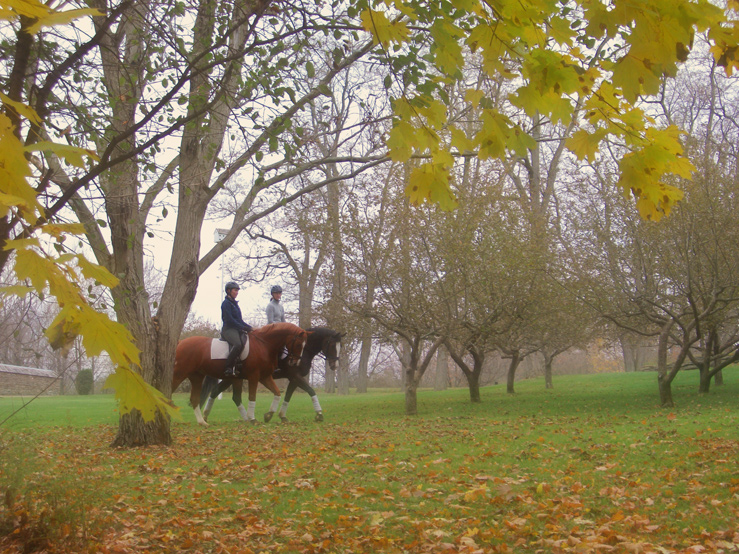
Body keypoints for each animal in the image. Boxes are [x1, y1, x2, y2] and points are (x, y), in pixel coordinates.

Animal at [173, 322, 306, 424]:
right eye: (299, 344)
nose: (295, 363)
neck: (263, 344)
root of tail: (180, 342)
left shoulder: (264, 377)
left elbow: (277, 393)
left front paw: (268, 415)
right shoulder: (254, 377)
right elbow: (252, 396)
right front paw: (253, 418)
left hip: (198, 377)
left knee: (196, 398)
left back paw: (202, 421)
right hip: (180, 374)